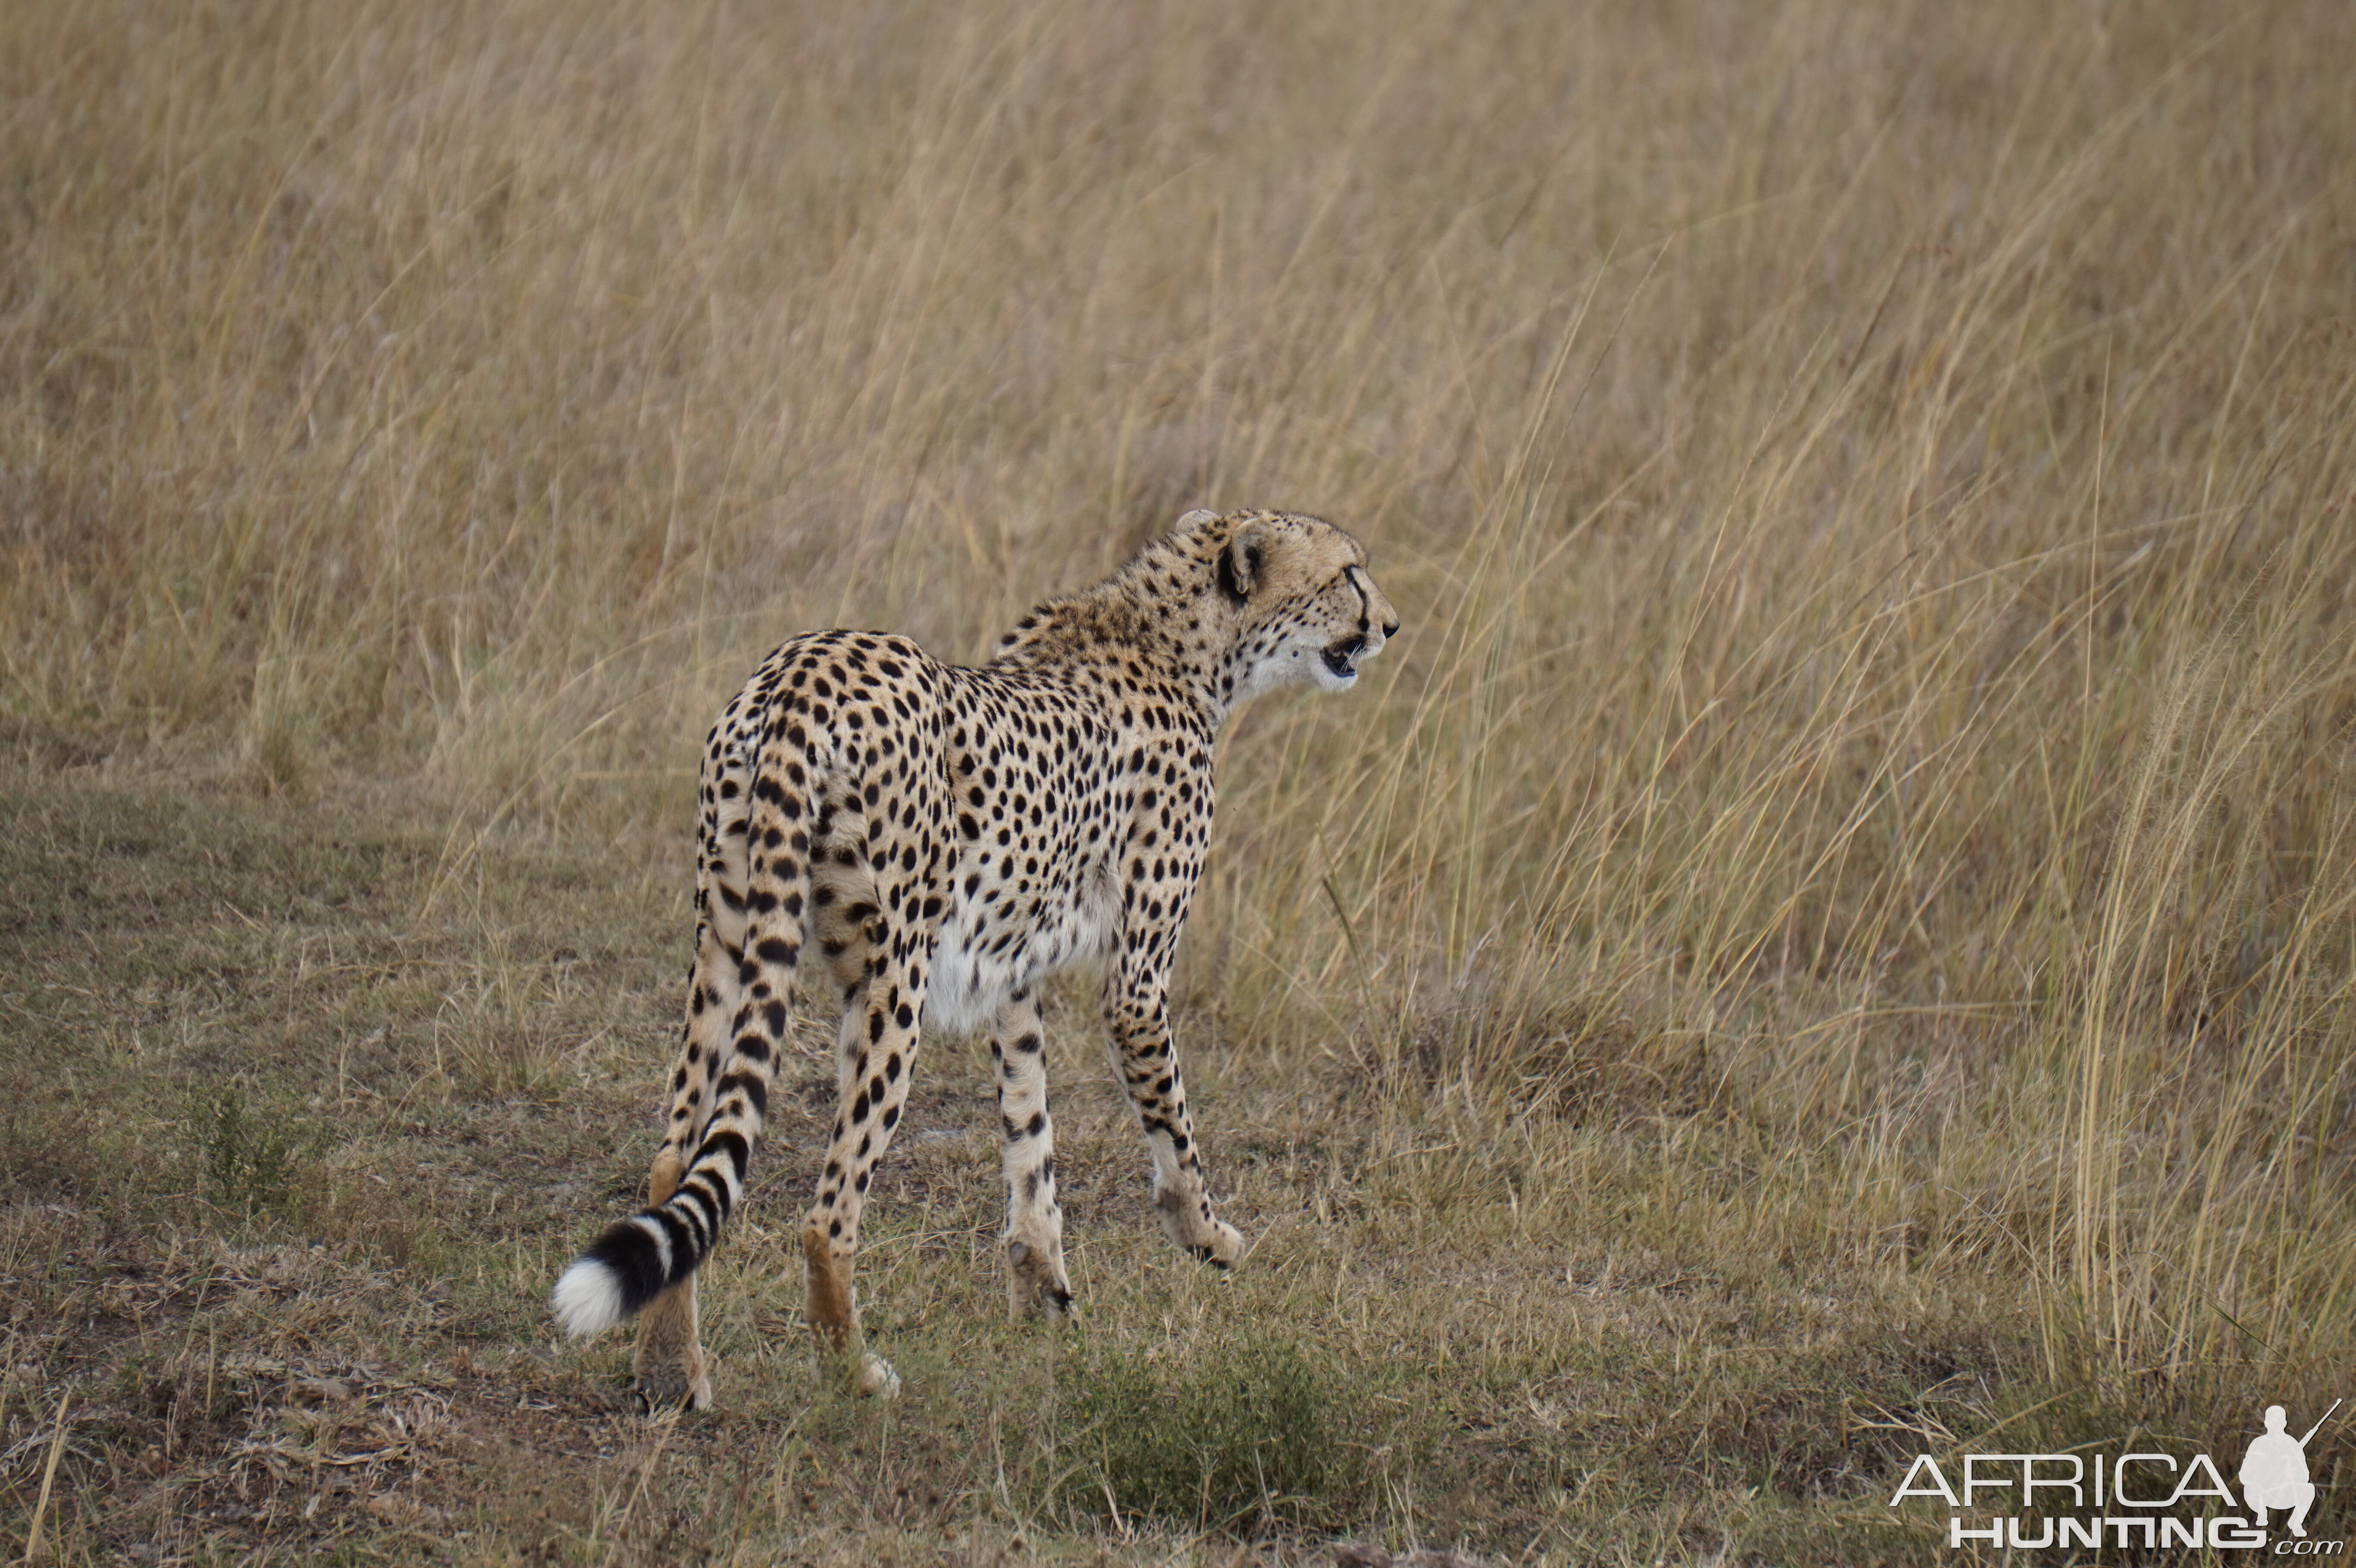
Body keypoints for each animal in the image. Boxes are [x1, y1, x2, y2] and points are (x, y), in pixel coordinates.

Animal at [551, 506, 1394, 1394]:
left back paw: (671, 1373)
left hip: (725, 939)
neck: (1181, 642)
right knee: (828, 1209)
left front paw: (1046, 1296)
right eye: (1347, 574)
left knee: (675, 1160)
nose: (1390, 625)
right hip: (893, 982)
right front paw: (1206, 1236)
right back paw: (854, 1375)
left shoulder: (1013, 977)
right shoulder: (1134, 981)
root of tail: (802, 667)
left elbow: (1031, 1139)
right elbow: (1172, 1126)